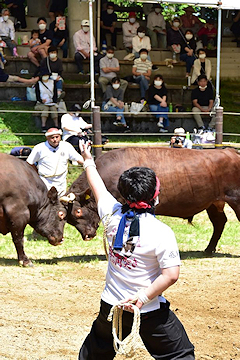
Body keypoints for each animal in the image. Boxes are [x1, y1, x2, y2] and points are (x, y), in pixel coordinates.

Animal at [63, 146, 240, 253]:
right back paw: (209, 249)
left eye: (78, 211)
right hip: (213, 203)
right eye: (68, 219)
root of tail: (230, 151)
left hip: (235, 198)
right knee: (219, 222)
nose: (87, 235)